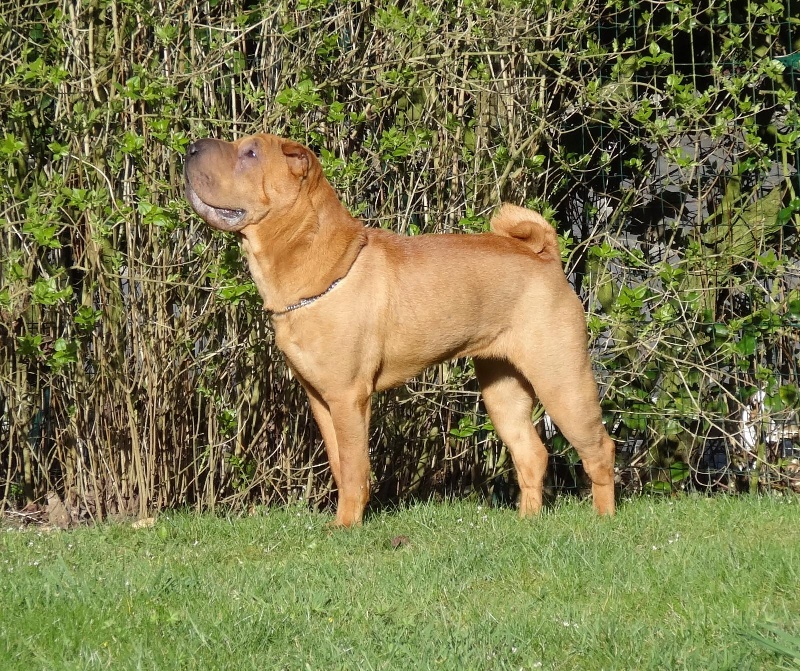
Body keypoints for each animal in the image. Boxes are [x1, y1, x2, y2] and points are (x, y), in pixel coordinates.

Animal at [184, 133, 615, 526]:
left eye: (251, 153)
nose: (191, 147)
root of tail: (545, 258)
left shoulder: (348, 396)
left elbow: (354, 468)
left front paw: (346, 527)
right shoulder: (321, 398)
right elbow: (339, 464)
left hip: (561, 380)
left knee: (600, 449)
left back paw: (604, 519)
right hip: (502, 389)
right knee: (532, 453)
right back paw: (527, 520)